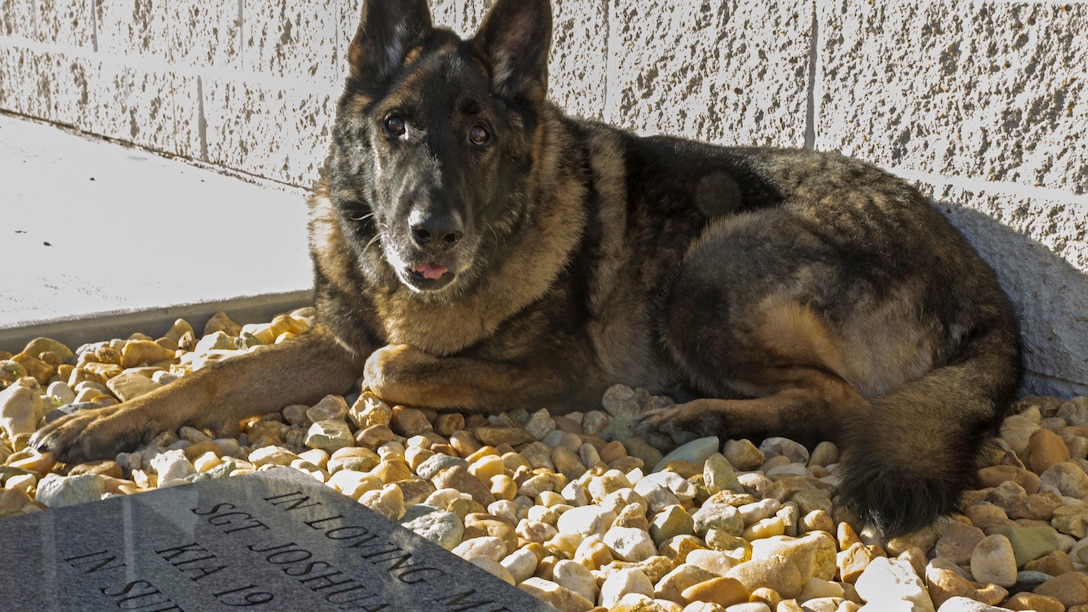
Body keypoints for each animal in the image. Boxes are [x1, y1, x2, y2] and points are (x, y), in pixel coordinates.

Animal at [31, 0, 1018, 533]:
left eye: (478, 137)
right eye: (396, 127)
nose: (431, 234)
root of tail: (989, 294)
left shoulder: (554, 367)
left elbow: (390, 366)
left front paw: (410, 370)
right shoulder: (334, 340)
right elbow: (217, 374)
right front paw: (106, 421)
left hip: (709, 267)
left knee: (843, 402)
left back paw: (695, 413)